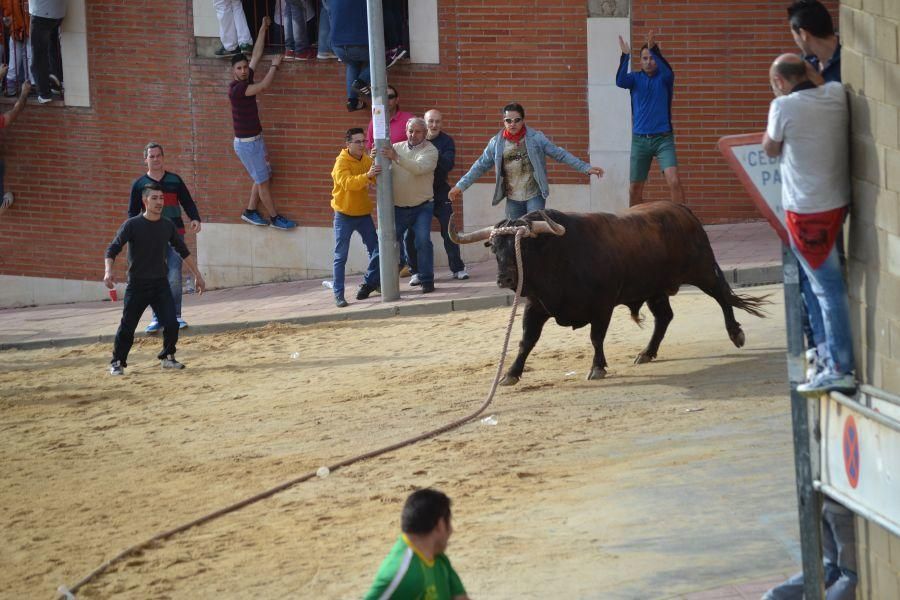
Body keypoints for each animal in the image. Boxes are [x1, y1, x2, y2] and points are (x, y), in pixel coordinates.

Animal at [450, 203, 768, 384]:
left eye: (523, 246)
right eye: (495, 248)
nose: (504, 278)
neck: (558, 254)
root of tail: (681, 210)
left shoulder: (602, 306)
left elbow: (596, 337)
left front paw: (597, 368)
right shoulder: (536, 306)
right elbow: (526, 340)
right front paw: (511, 373)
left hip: (701, 270)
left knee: (722, 297)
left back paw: (736, 334)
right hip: (654, 289)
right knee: (664, 317)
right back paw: (646, 353)